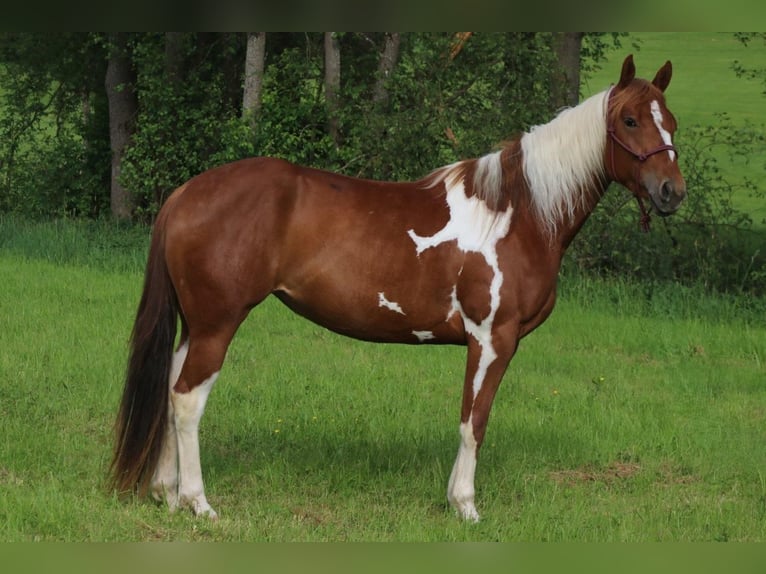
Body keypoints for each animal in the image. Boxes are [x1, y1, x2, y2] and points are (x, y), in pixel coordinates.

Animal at [111, 54, 686, 522]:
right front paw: (464, 506)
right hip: (218, 323)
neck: (518, 214)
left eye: (671, 122)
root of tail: (185, 193)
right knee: (187, 398)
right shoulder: (491, 338)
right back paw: (198, 502)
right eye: (629, 120)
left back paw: (164, 493)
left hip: (196, 323)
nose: (671, 192)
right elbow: (473, 421)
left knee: (170, 387)